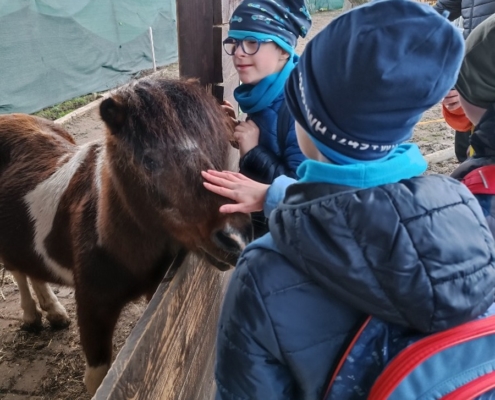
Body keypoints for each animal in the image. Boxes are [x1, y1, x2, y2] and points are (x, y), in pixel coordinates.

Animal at [0, 78, 254, 394]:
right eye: (148, 161)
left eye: (217, 143)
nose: (236, 237)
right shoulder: (92, 308)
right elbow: (97, 378)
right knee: (17, 271)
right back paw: (31, 317)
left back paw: (54, 312)